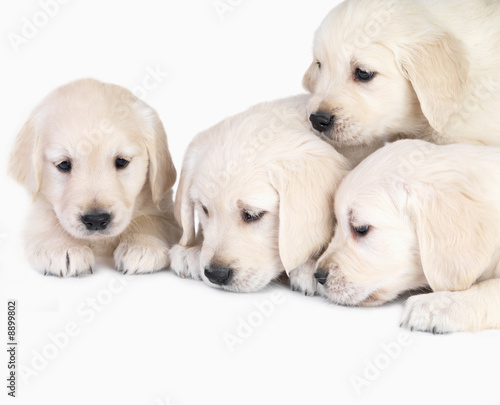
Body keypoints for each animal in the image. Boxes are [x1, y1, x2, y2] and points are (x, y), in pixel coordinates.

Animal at [7, 77, 181, 276]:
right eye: (64, 164)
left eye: (121, 161)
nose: (96, 220)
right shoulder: (37, 206)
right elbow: (49, 219)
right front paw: (62, 247)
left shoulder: (164, 207)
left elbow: (153, 220)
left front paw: (143, 246)